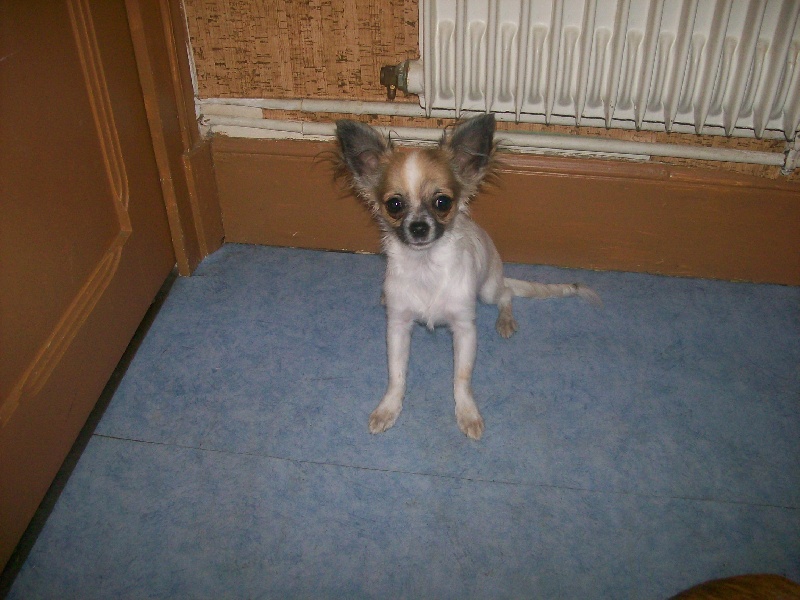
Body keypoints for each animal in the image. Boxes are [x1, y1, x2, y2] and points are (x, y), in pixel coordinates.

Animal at [334, 114, 599, 440]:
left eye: (442, 202)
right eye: (394, 205)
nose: (419, 227)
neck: (426, 267)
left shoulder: (464, 328)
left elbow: (461, 377)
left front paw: (467, 413)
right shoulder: (398, 326)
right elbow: (396, 375)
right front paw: (389, 408)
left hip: (487, 289)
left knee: (506, 295)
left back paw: (506, 320)